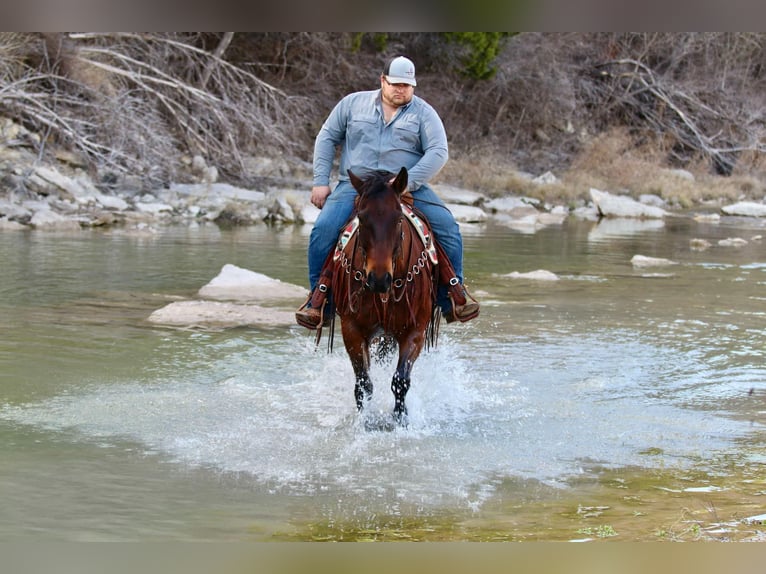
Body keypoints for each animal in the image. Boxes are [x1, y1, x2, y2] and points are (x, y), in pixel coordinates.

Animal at [328, 166, 438, 428]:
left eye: (398, 219)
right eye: (362, 218)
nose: (379, 279)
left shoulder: (415, 331)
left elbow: (400, 381)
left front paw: (401, 419)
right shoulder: (352, 329)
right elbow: (363, 383)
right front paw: (364, 421)